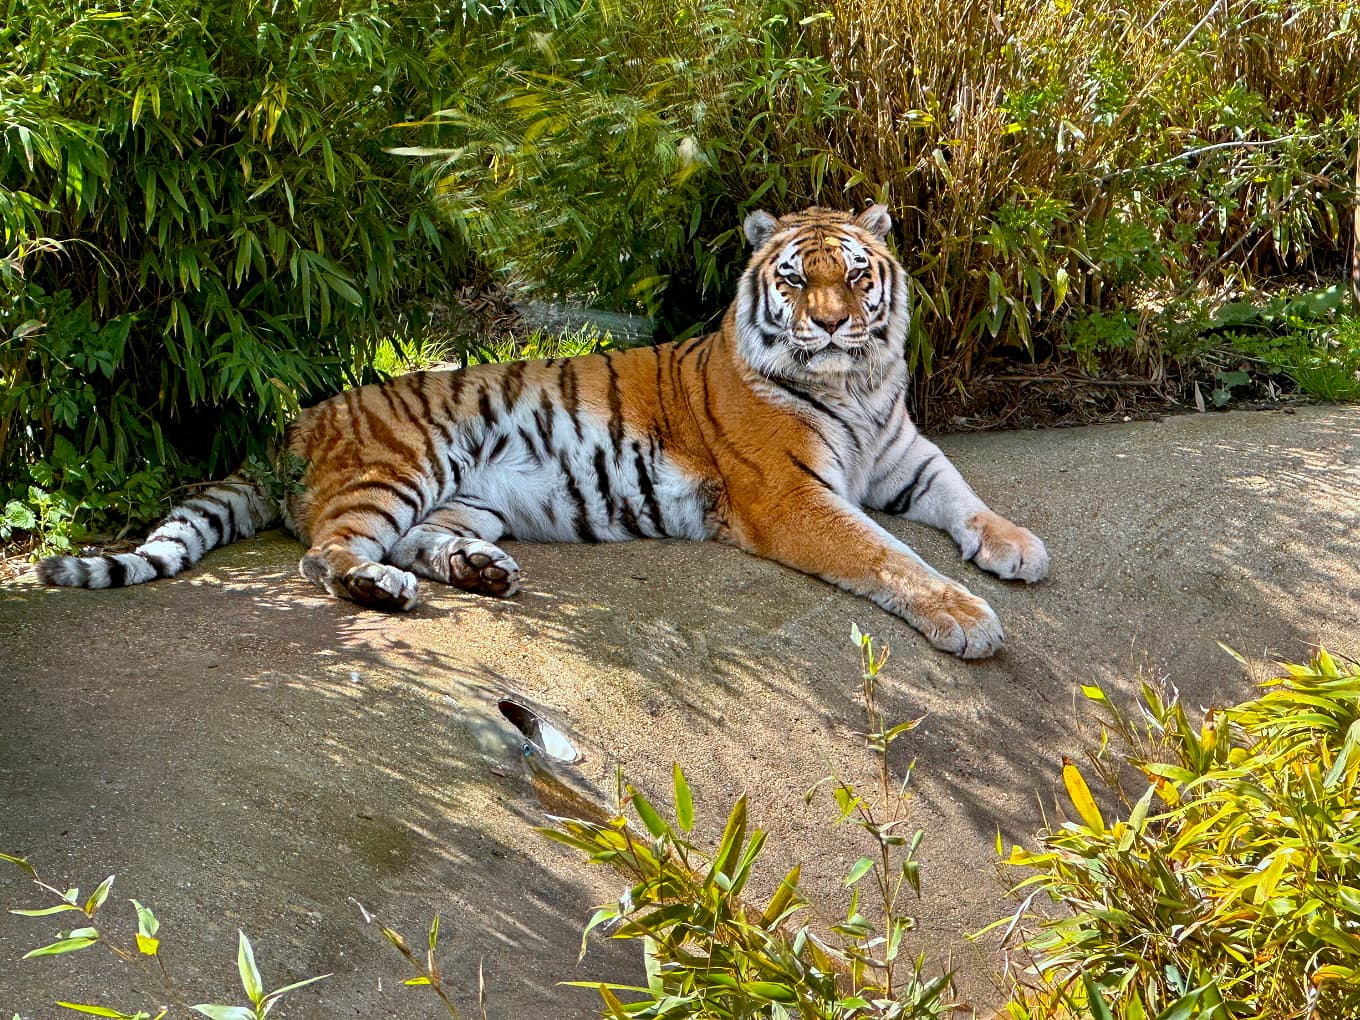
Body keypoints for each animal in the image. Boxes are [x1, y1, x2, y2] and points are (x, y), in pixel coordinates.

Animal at [36, 204, 1048, 658]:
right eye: (797, 279)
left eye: (858, 273)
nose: (834, 325)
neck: (860, 384)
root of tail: (295, 420)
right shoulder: (794, 495)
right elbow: (887, 556)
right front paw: (967, 618)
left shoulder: (908, 458)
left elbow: (967, 498)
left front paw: (1017, 547)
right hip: (398, 465)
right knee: (326, 555)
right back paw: (383, 590)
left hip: (464, 501)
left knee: (419, 541)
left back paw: (481, 572)